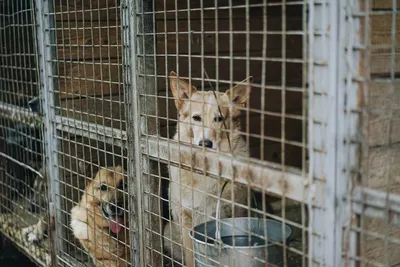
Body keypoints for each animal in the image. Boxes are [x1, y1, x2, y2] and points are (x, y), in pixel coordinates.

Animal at [163, 71, 252, 267]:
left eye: (219, 119)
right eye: (196, 118)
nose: (205, 143)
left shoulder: (233, 214)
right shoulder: (186, 218)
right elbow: (190, 258)